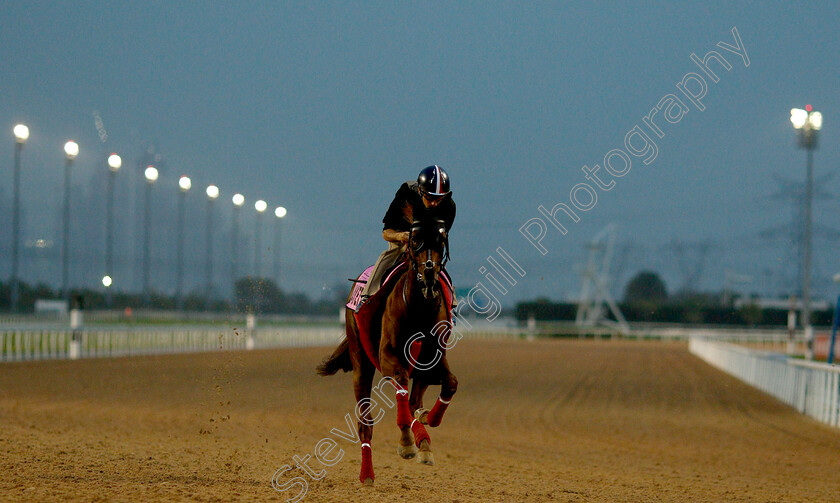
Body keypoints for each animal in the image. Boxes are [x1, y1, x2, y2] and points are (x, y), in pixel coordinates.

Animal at [316, 220, 460, 488]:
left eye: (441, 240)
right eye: (415, 241)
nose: (429, 274)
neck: (419, 309)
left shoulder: (432, 361)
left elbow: (450, 384)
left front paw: (428, 420)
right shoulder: (388, 358)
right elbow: (402, 389)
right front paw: (407, 444)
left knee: (414, 401)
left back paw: (423, 439)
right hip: (361, 360)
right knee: (365, 423)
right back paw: (367, 474)